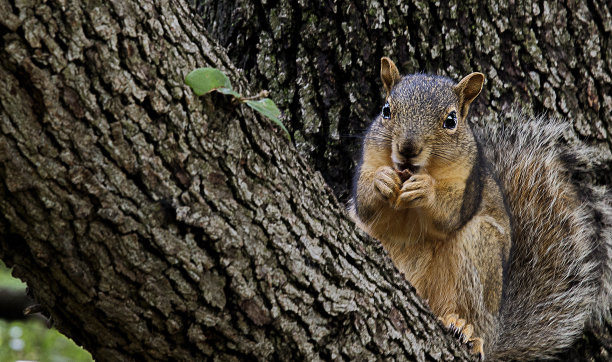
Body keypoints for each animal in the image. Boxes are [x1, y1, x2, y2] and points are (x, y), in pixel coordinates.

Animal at [350, 57, 612, 360]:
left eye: (451, 120)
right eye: (386, 110)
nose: (407, 148)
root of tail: (495, 331)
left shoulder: (470, 186)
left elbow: (448, 214)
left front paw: (426, 190)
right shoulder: (368, 163)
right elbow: (366, 204)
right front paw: (382, 180)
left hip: (478, 254)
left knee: (468, 313)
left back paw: (465, 330)